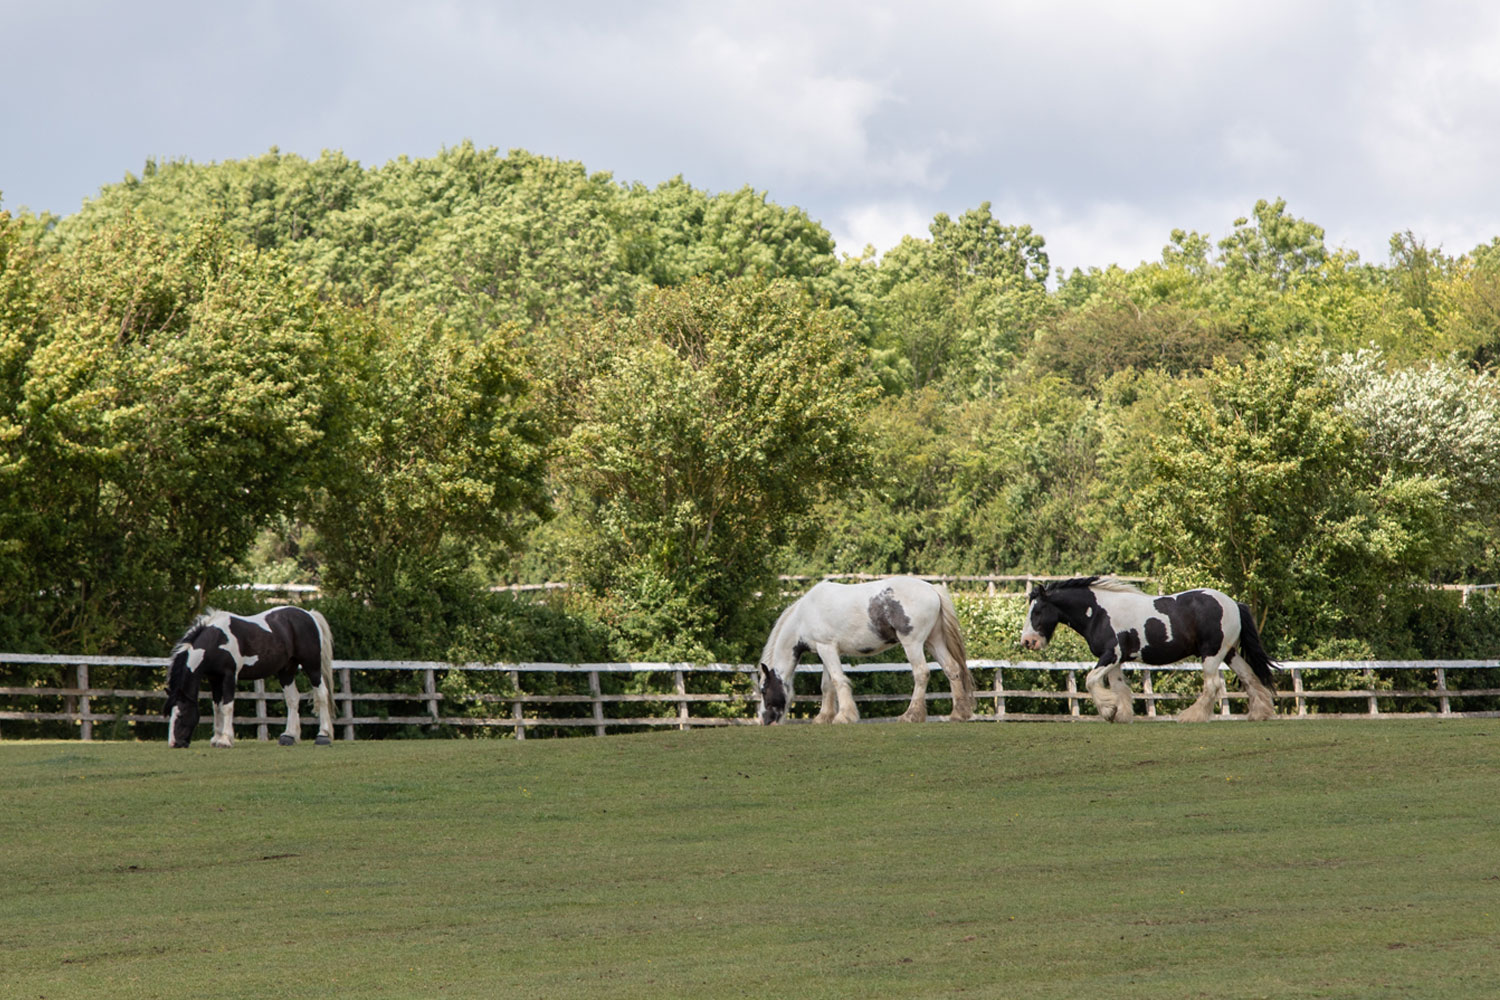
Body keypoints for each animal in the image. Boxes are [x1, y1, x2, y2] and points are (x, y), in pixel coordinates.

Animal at [166, 605, 337, 746]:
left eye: (180, 714)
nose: (174, 743)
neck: (217, 640)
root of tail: (310, 615)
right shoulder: (215, 678)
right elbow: (217, 707)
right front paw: (217, 738)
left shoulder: (229, 676)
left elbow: (227, 706)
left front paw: (225, 740)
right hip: (286, 670)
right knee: (293, 699)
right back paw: (288, 736)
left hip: (312, 667)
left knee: (322, 694)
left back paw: (323, 736)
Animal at [756, 578, 978, 728]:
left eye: (764, 690)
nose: (765, 720)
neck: (804, 615)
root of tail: (932, 589)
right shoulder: (827, 650)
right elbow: (827, 685)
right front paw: (824, 717)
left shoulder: (826, 648)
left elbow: (838, 681)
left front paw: (844, 716)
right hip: (934, 641)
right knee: (952, 669)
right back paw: (958, 714)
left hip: (913, 643)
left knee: (921, 673)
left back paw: (911, 715)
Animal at [1020, 575, 1278, 722]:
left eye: (1037, 611)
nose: (1027, 641)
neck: (1099, 612)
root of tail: (1234, 603)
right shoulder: (1116, 660)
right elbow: (1119, 688)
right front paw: (1120, 715)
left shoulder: (1110, 655)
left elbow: (1091, 680)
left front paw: (1107, 710)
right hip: (1229, 653)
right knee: (1249, 678)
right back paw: (1259, 714)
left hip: (1212, 655)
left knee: (1212, 685)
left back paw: (1191, 717)